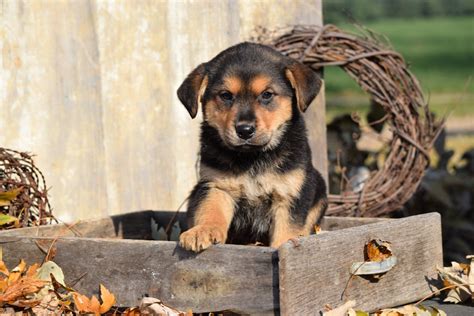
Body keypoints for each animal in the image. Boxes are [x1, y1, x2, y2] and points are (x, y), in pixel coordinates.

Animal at [176, 42, 328, 252]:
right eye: (225, 95)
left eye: (267, 95)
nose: (245, 130)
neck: (252, 157)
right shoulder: (215, 185)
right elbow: (210, 210)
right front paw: (202, 231)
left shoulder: (290, 193)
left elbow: (287, 229)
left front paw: (284, 246)